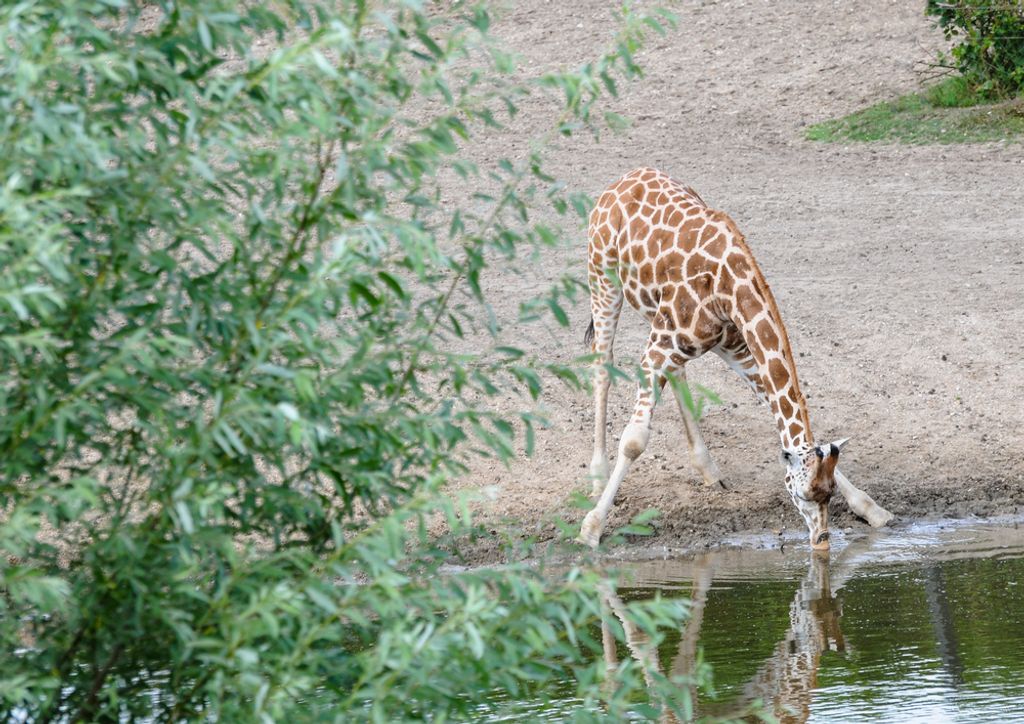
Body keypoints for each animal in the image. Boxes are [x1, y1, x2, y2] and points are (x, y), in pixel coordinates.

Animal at [579, 167, 892, 552]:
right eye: (802, 494)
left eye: (828, 492)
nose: (821, 541)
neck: (729, 289)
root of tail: (622, 180)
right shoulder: (659, 349)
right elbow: (635, 440)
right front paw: (591, 528)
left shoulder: (735, 347)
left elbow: (779, 413)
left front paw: (871, 508)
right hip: (603, 279)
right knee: (602, 364)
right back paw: (597, 477)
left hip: (662, 320)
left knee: (677, 372)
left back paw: (708, 470)